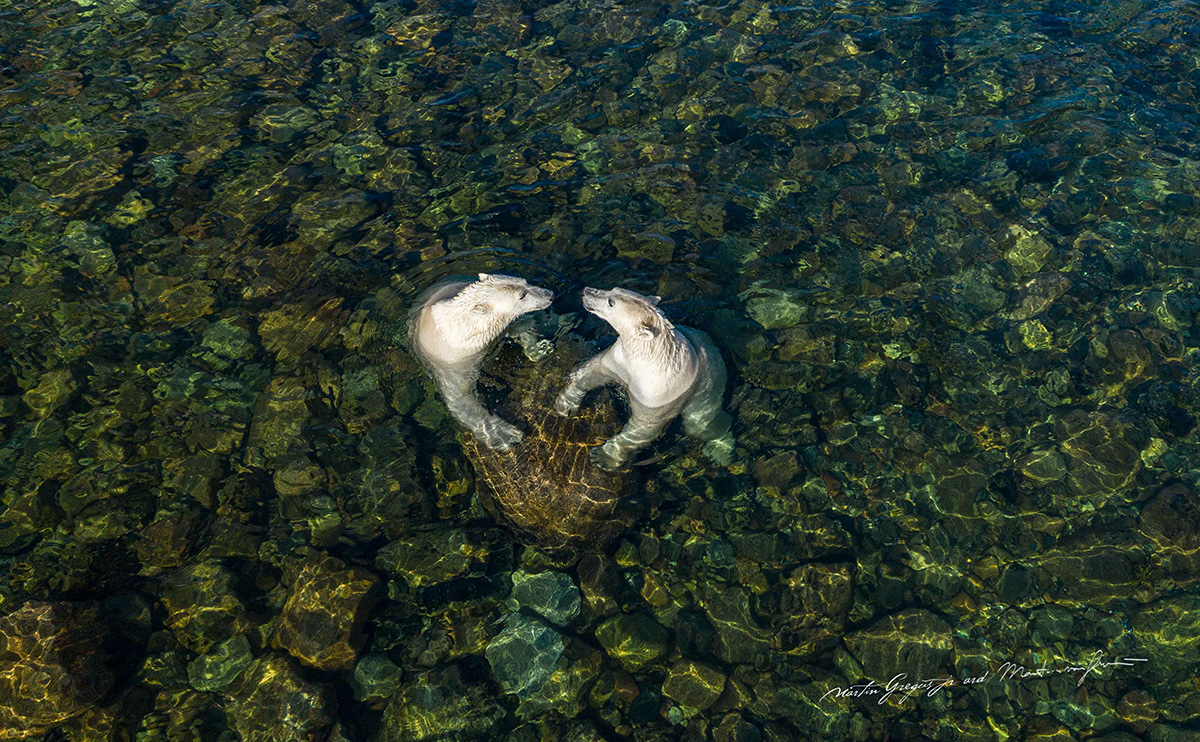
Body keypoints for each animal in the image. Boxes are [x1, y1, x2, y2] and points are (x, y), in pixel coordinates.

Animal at [409, 273, 555, 450]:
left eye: (525, 282)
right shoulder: (452, 362)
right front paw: (508, 435)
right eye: (522, 296)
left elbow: (521, 326)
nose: (550, 294)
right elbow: (460, 400)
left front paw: (541, 349)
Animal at [555, 286, 735, 470]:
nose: (586, 290)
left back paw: (720, 450)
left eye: (611, 302)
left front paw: (602, 456)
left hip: (709, 384)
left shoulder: (656, 393)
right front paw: (564, 405)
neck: (648, 357)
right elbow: (594, 371)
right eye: (613, 288)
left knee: (699, 424)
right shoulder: (619, 360)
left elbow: (643, 427)